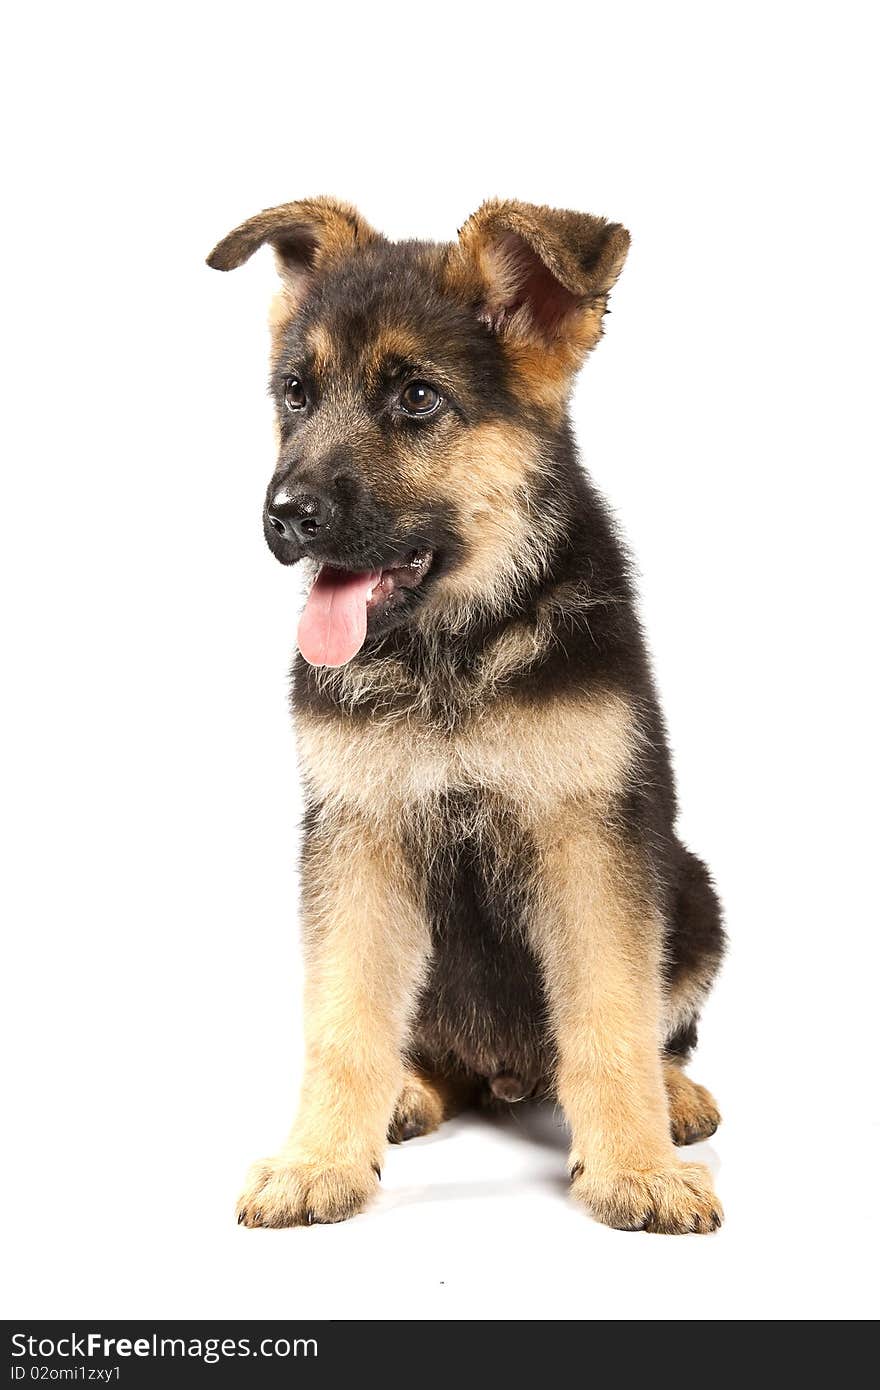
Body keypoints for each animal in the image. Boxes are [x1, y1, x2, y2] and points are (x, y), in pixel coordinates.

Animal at [209, 198, 722, 1239]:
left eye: (416, 399)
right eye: (295, 393)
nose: (285, 516)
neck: (456, 646)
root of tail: (509, 1075)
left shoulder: (591, 838)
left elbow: (612, 1016)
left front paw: (636, 1168)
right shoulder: (357, 834)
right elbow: (343, 1018)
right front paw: (319, 1159)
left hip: (694, 892)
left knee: (660, 1026)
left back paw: (675, 1096)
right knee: (423, 1042)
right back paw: (411, 1090)